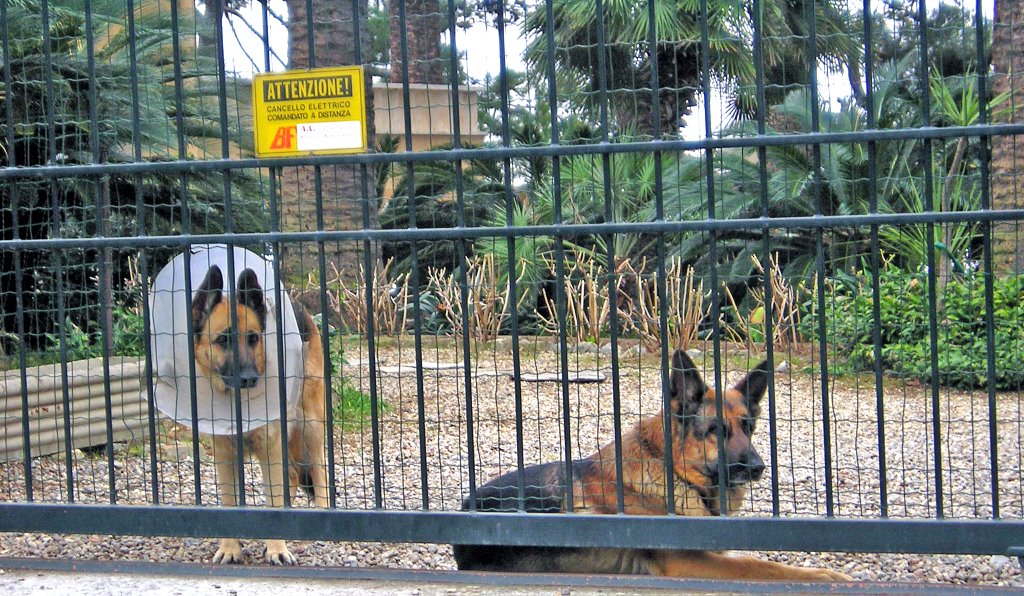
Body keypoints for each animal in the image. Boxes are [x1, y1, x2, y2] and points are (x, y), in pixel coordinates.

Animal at [454, 350, 847, 585]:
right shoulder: (689, 562)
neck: (673, 474)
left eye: (747, 427)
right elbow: (758, 564)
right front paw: (825, 576)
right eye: (716, 430)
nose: (757, 467)